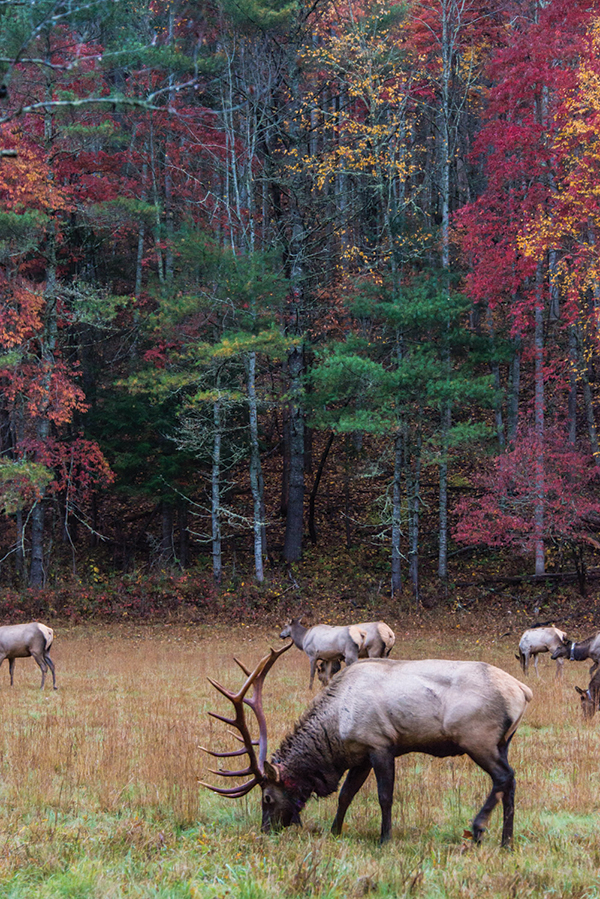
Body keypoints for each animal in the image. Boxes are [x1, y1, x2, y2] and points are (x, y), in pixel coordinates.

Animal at [201, 643, 532, 847]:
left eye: (267, 798)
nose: (265, 831)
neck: (335, 729)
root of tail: (523, 691)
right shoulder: (359, 754)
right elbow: (345, 795)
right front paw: (335, 831)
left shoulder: (381, 744)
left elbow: (385, 796)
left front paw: (384, 839)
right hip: (503, 742)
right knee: (510, 782)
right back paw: (506, 842)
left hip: (476, 737)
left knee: (504, 776)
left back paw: (478, 829)